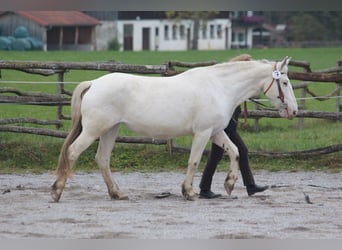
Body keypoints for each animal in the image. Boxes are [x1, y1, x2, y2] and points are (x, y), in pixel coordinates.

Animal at [50, 56, 296, 201]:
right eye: (284, 82)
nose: (293, 111)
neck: (219, 87)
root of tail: (93, 83)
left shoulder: (216, 132)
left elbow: (235, 152)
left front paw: (229, 184)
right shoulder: (203, 133)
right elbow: (194, 161)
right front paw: (189, 192)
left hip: (111, 130)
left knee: (102, 159)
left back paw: (117, 193)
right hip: (93, 130)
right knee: (72, 152)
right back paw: (56, 191)